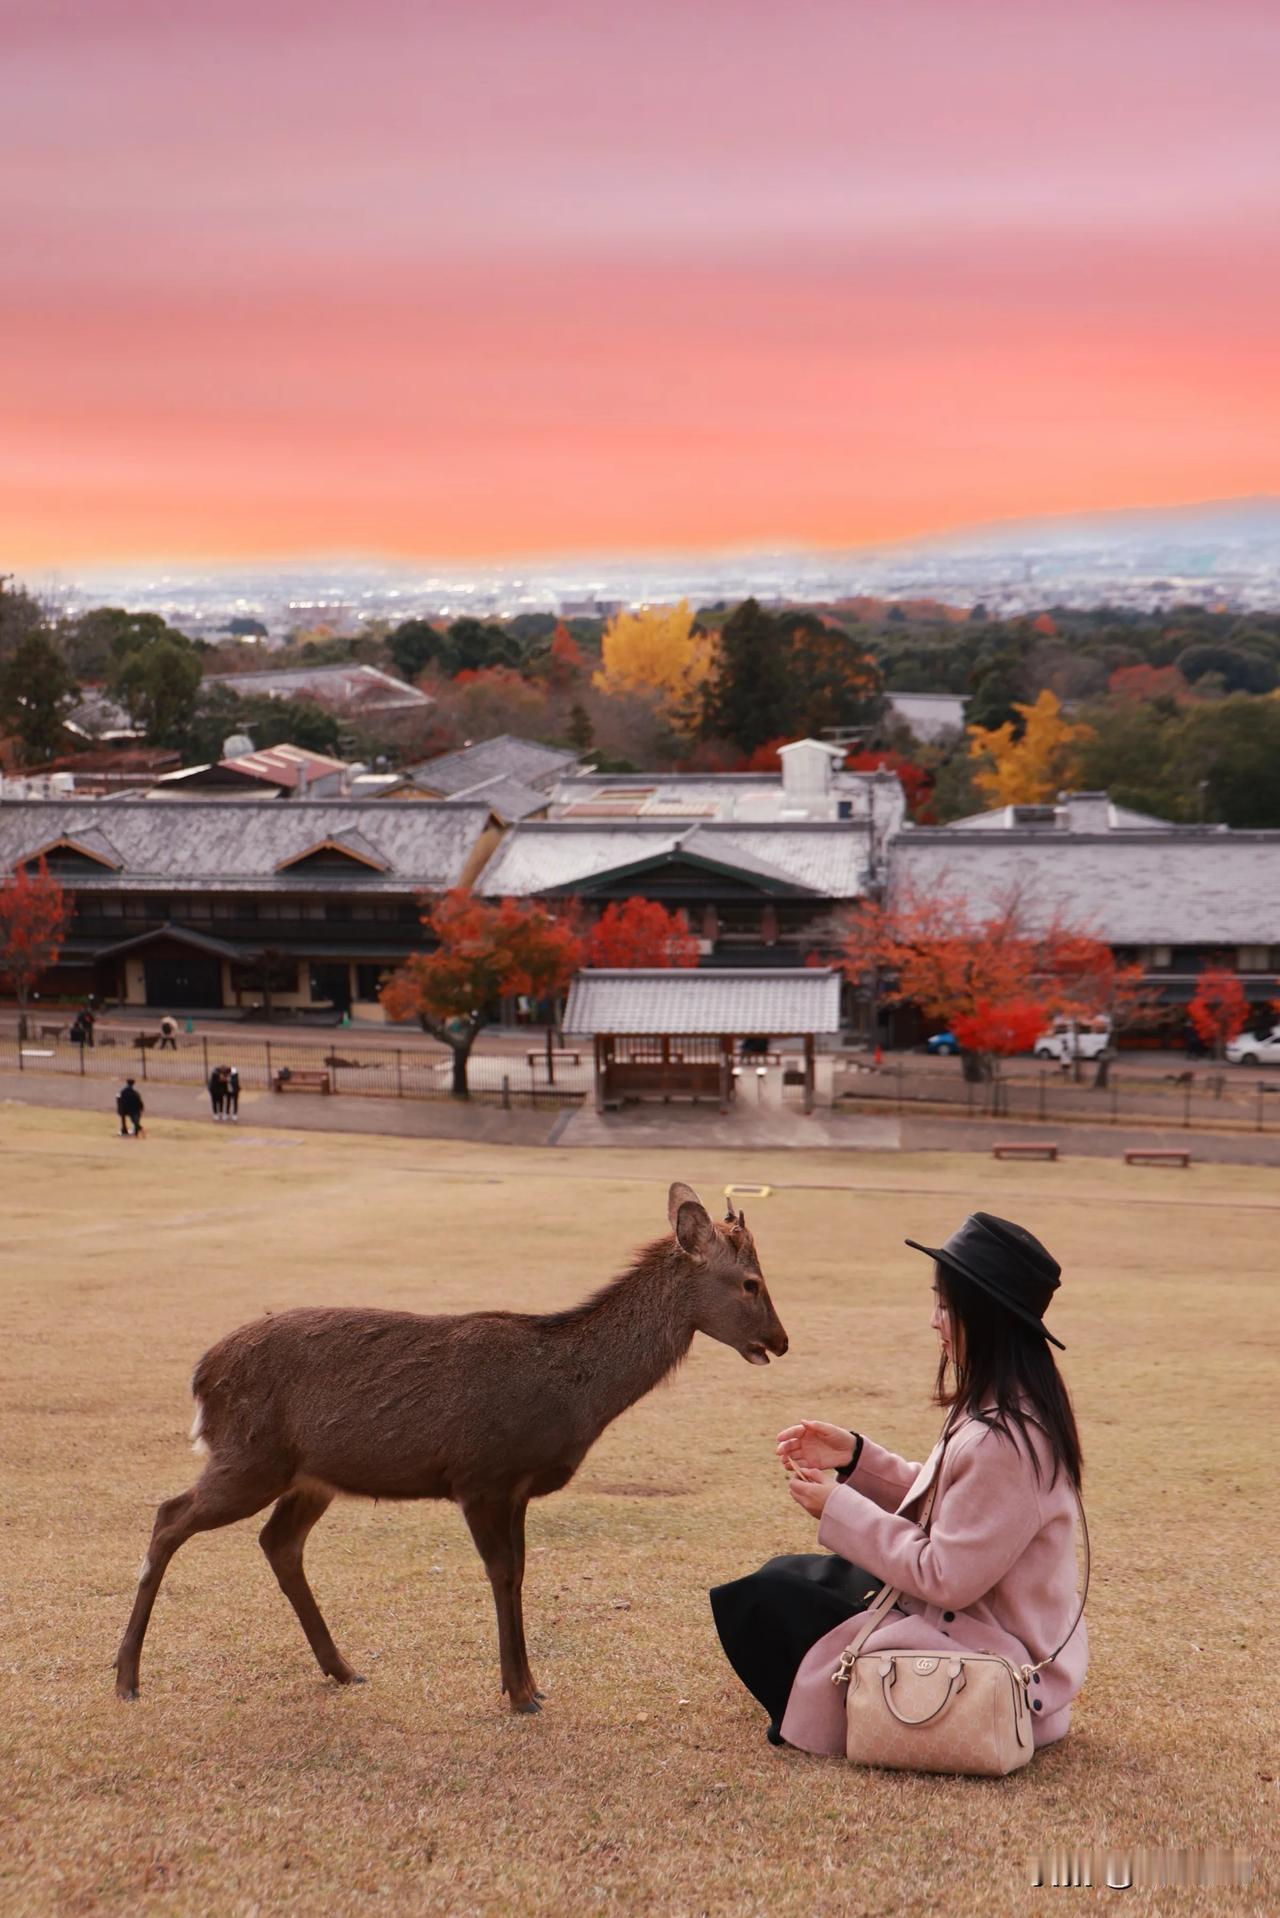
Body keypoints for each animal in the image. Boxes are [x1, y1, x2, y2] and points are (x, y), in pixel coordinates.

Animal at [115, 1181, 786, 1710]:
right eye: (751, 1283)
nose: (781, 1341)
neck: (571, 1399)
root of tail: (201, 1377)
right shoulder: (482, 1475)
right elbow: (502, 1572)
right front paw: (518, 1694)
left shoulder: (516, 1489)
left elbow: (520, 1571)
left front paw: (530, 1686)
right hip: (250, 1458)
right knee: (169, 1516)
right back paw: (126, 1678)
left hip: (309, 1476)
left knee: (277, 1542)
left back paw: (343, 1669)